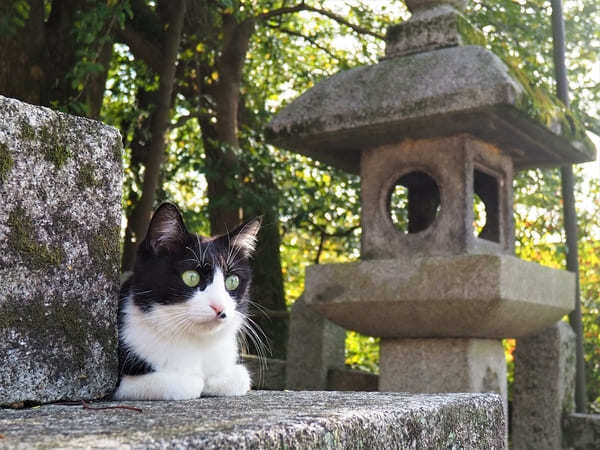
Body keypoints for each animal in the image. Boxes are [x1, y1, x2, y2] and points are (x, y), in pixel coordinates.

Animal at [113, 202, 262, 400]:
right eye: (191, 277)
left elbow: (240, 376)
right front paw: (194, 380)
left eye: (232, 281)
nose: (219, 307)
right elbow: (182, 384)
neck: (196, 344)